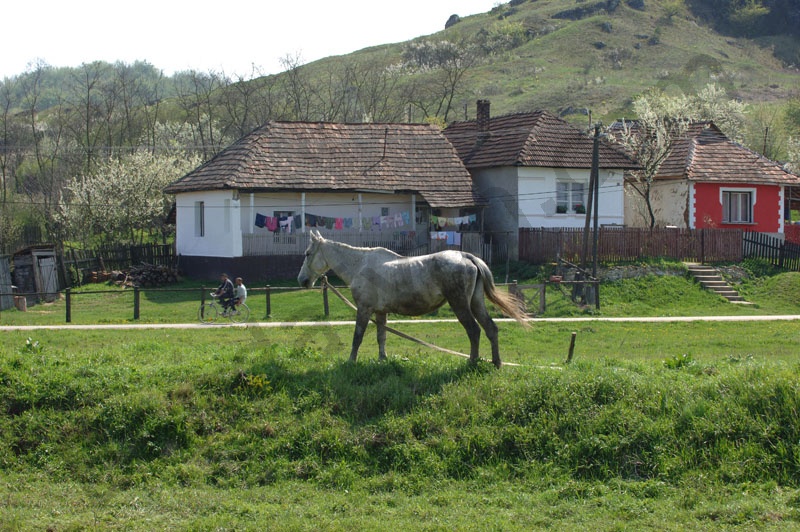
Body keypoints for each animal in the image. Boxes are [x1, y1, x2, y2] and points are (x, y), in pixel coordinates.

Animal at [296, 231, 528, 368]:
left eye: (307, 253)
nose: (302, 280)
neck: (360, 265)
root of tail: (467, 257)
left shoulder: (364, 309)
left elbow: (357, 337)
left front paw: (351, 362)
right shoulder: (380, 311)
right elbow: (381, 336)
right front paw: (382, 359)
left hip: (460, 304)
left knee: (474, 330)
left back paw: (472, 361)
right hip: (476, 302)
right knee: (490, 328)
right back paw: (496, 363)